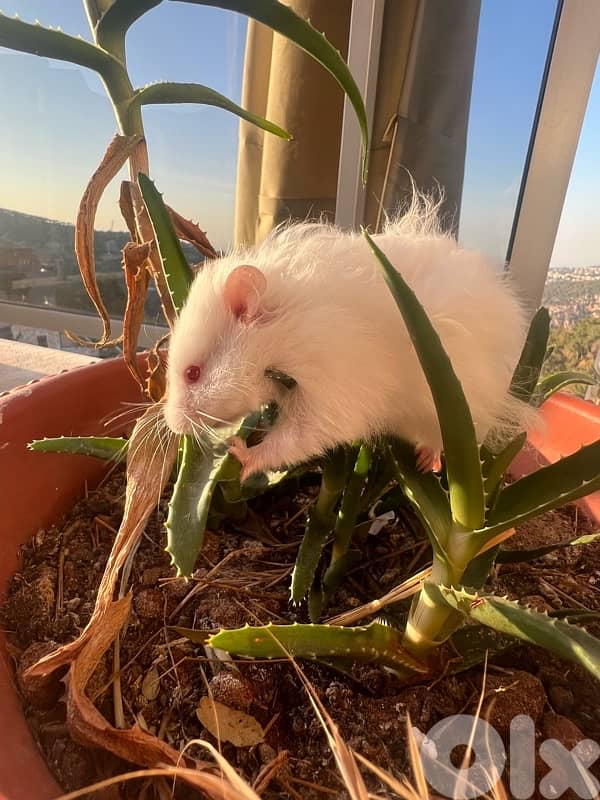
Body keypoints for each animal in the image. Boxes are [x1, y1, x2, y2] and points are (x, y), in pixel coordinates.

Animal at [163, 197, 531, 480]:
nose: (172, 426)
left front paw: (240, 454)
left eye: (192, 373)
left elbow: (293, 439)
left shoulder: (332, 395)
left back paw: (428, 463)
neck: (283, 333)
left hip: (454, 413)